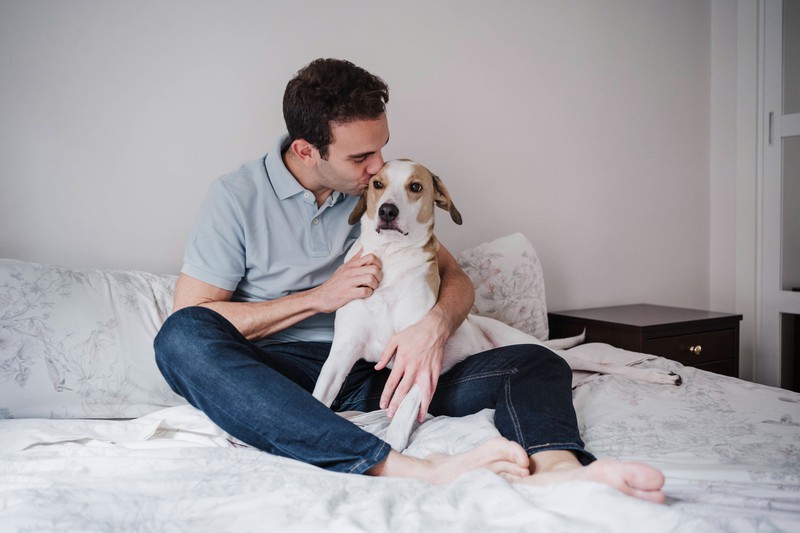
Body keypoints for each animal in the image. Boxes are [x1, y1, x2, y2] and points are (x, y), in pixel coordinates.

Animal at [312, 158, 680, 448]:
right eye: (378, 184)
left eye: (415, 186)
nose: (387, 210)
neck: (390, 261)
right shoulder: (343, 352)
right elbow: (318, 397)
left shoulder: (419, 353)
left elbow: (401, 416)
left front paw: (394, 448)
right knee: (582, 370)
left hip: (535, 347)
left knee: (595, 363)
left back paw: (660, 376)